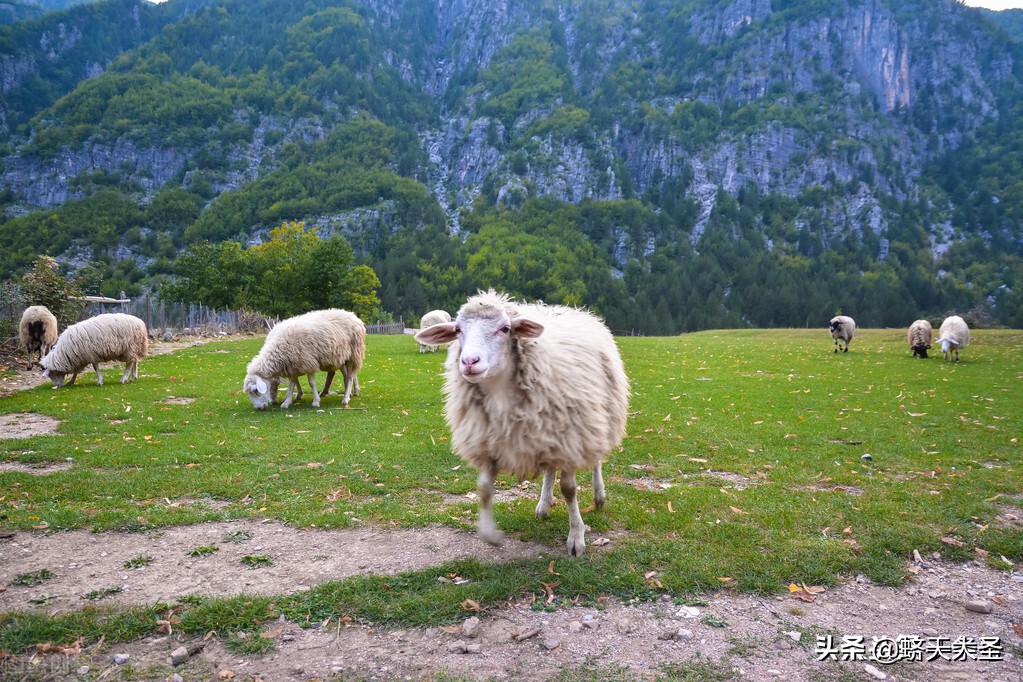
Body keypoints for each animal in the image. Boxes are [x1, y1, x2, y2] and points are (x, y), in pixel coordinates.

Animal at [415, 290, 630, 556]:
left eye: (505, 328)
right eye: (457, 330)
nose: (469, 362)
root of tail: (575, 310)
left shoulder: (571, 439)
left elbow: (569, 490)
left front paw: (576, 537)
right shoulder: (490, 443)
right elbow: (484, 489)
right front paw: (490, 534)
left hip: (597, 418)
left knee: (596, 460)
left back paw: (599, 496)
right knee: (550, 469)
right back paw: (544, 504)